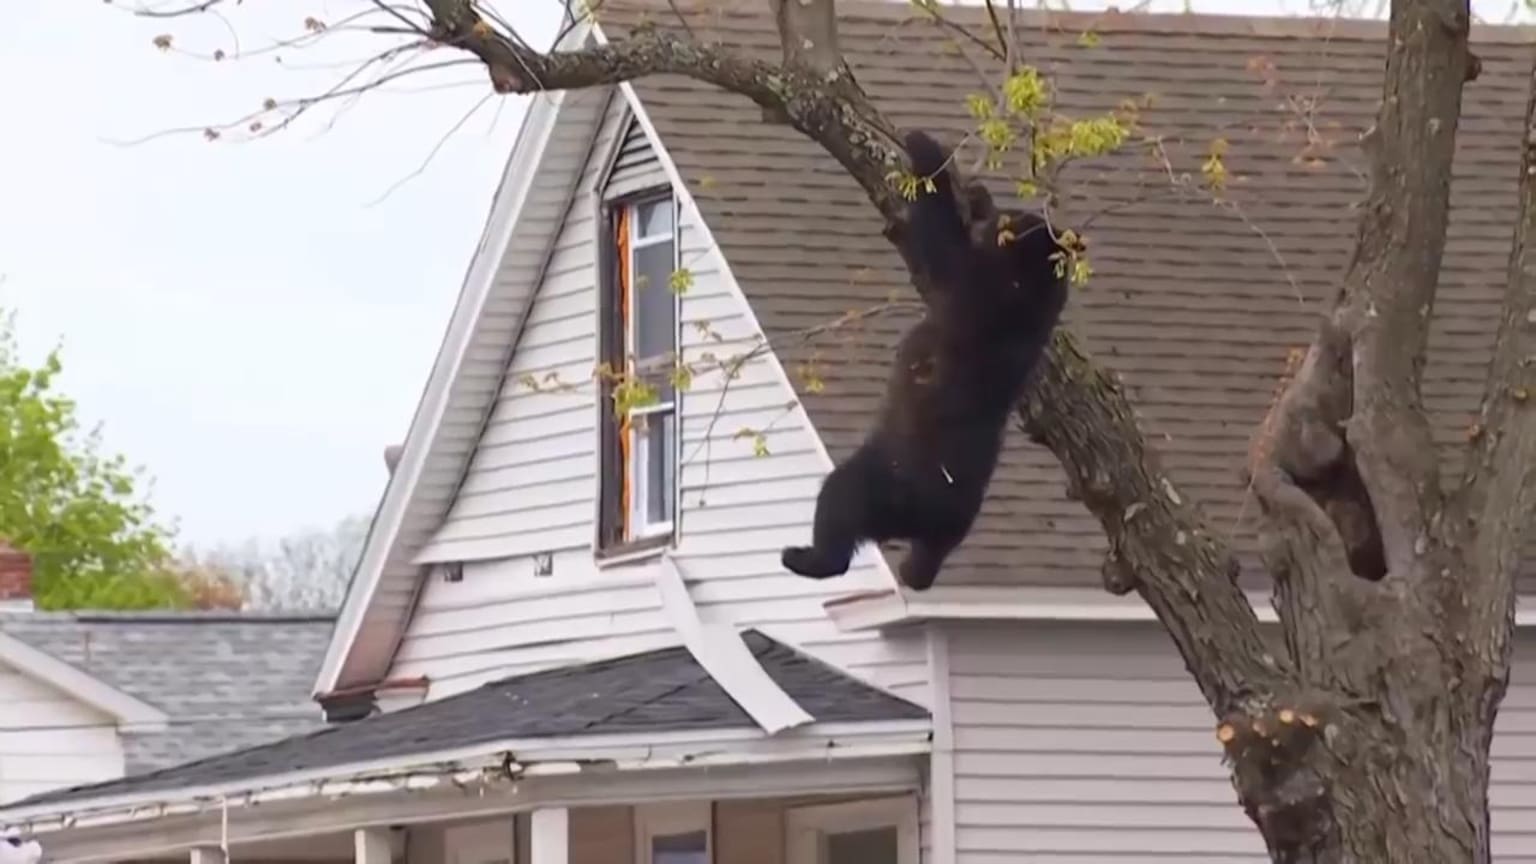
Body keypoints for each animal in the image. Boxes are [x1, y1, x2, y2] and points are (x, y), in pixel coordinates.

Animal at [780, 129, 1075, 591]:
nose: (1005, 214)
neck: (1028, 290)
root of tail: (930, 515)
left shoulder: (972, 285)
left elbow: (938, 239)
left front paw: (925, 147)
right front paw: (976, 194)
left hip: (883, 479)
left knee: (838, 504)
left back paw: (805, 557)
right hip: (950, 522)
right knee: (926, 552)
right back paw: (914, 570)